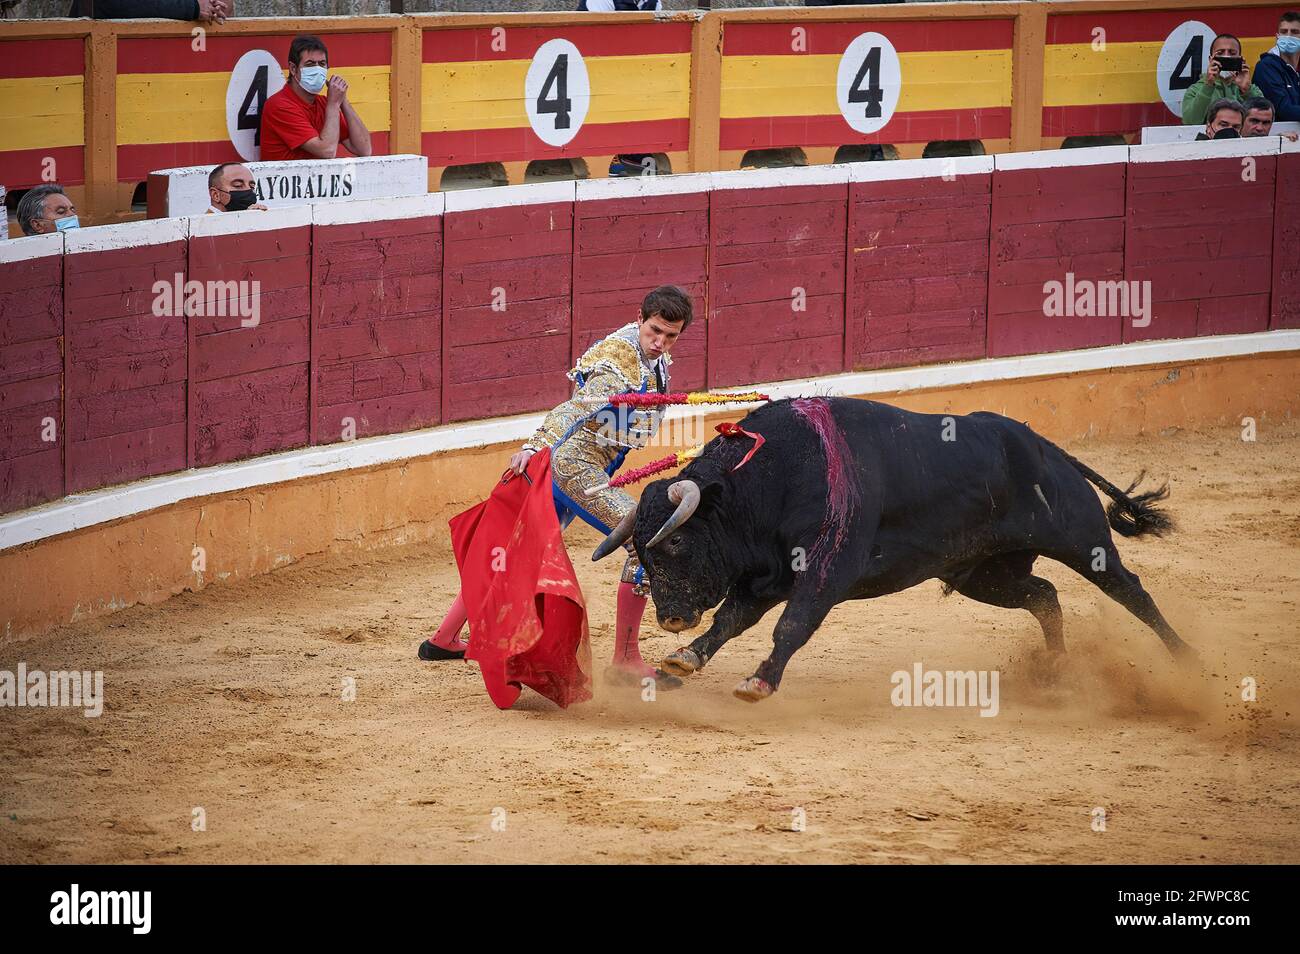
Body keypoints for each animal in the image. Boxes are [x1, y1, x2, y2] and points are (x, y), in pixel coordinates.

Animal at [595, 395, 1190, 701]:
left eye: (675, 543)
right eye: (641, 551)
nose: (670, 617)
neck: (768, 478)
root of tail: (1044, 445)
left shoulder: (825, 571)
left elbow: (792, 625)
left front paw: (759, 681)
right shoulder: (768, 577)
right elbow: (731, 620)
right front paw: (683, 658)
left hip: (1080, 540)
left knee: (1132, 592)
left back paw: (1188, 661)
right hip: (982, 574)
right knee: (1044, 594)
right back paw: (1056, 673)